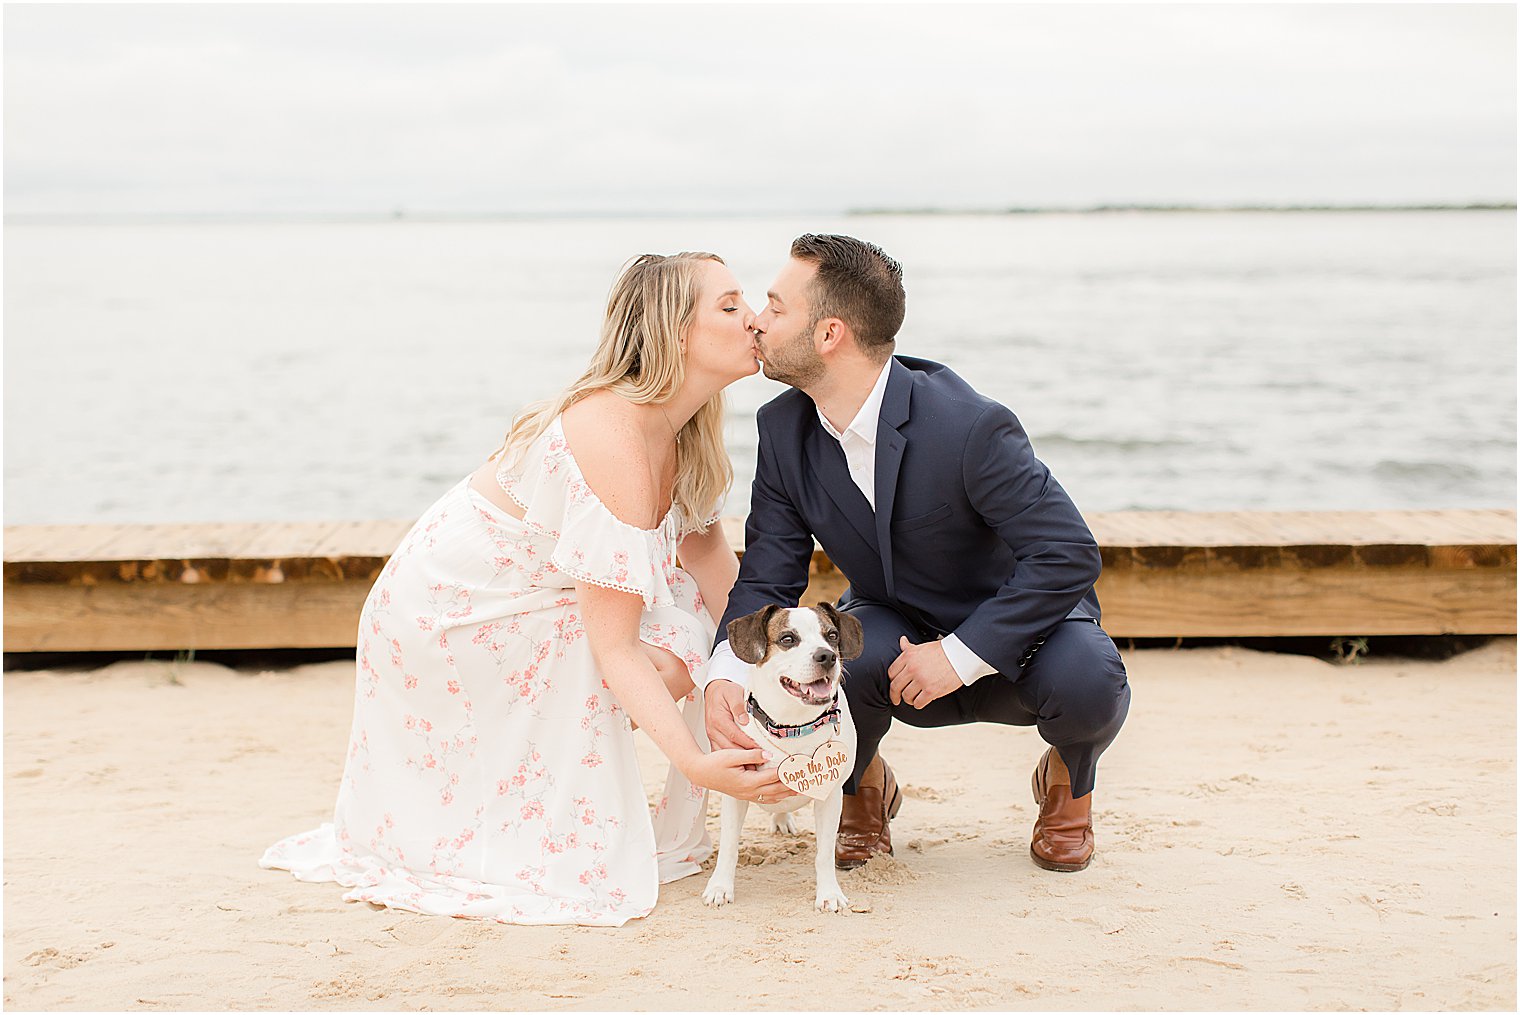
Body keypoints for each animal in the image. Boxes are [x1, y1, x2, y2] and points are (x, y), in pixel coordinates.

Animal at [702, 601, 863, 911]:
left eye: (832, 635)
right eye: (788, 639)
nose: (827, 656)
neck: (794, 727)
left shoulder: (830, 796)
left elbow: (824, 853)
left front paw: (829, 893)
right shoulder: (735, 790)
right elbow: (728, 846)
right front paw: (720, 887)